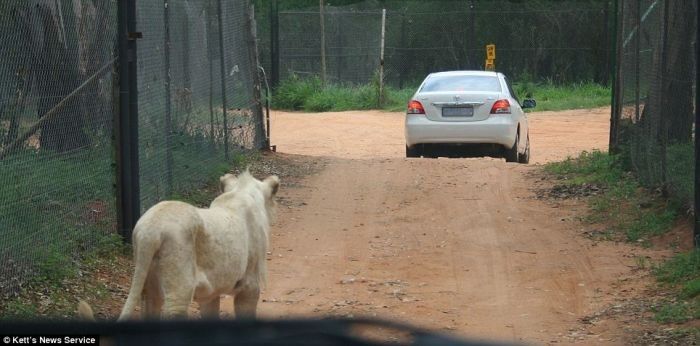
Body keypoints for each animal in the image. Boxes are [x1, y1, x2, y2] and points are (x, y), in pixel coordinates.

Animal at [78, 169, 278, 320]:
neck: (241, 194)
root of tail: (151, 228)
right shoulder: (250, 285)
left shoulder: (211, 293)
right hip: (179, 286)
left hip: (149, 285)